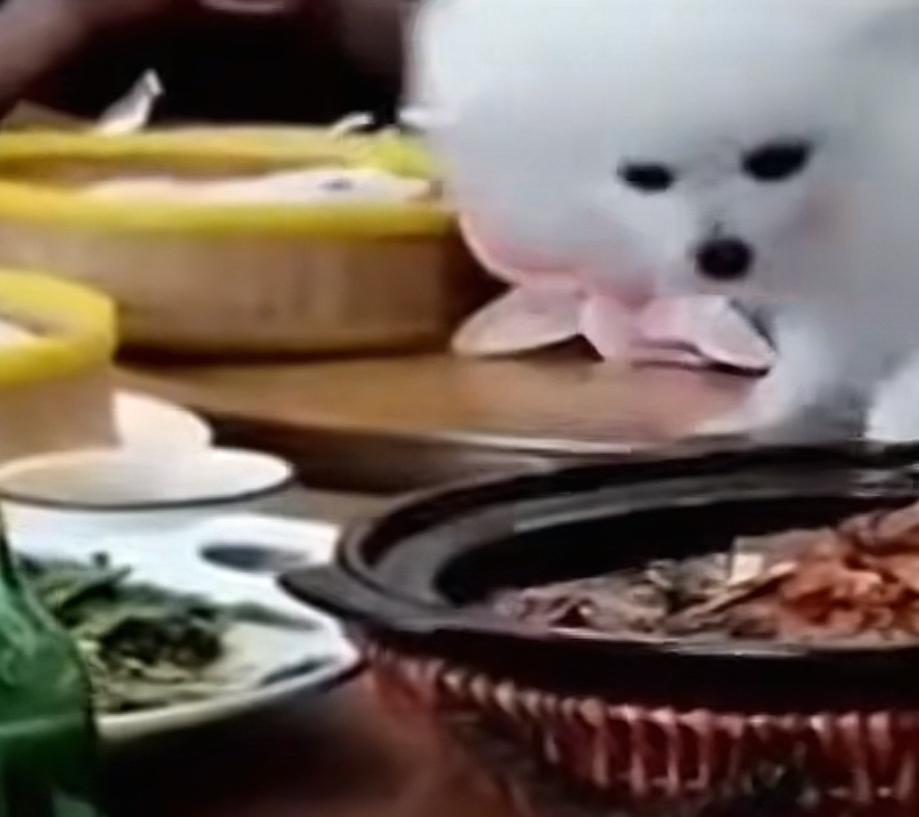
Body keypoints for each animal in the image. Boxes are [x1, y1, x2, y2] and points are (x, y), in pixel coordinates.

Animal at [410, 0, 919, 442]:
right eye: (644, 176)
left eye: (777, 160)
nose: (721, 256)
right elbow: (815, 357)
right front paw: (761, 412)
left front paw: (902, 417)